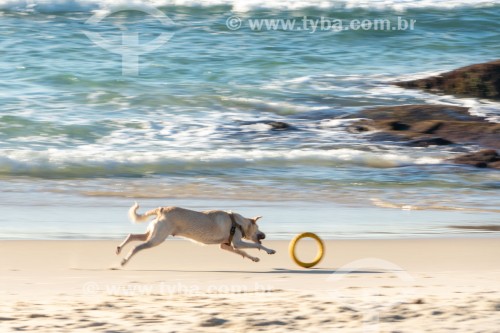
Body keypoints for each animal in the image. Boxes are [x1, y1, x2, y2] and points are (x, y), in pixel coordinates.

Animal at [116, 202, 278, 264]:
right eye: (258, 228)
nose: (265, 235)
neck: (237, 222)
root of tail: (161, 209)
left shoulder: (226, 246)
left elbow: (242, 252)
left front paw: (253, 258)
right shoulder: (237, 242)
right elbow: (257, 246)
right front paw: (269, 250)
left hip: (153, 234)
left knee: (131, 236)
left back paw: (118, 249)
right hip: (156, 239)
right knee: (136, 247)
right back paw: (124, 260)